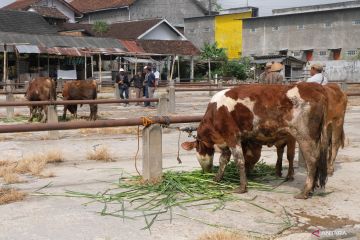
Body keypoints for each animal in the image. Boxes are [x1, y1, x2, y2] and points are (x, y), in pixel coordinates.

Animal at [181, 82, 330, 199]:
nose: (205, 171)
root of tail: (315, 87)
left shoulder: (232, 136)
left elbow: (239, 161)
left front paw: (242, 187)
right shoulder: (226, 142)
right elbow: (223, 160)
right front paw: (217, 179)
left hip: (304, 136)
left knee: (312, 161)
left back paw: (304, 192)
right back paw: (311, 190)